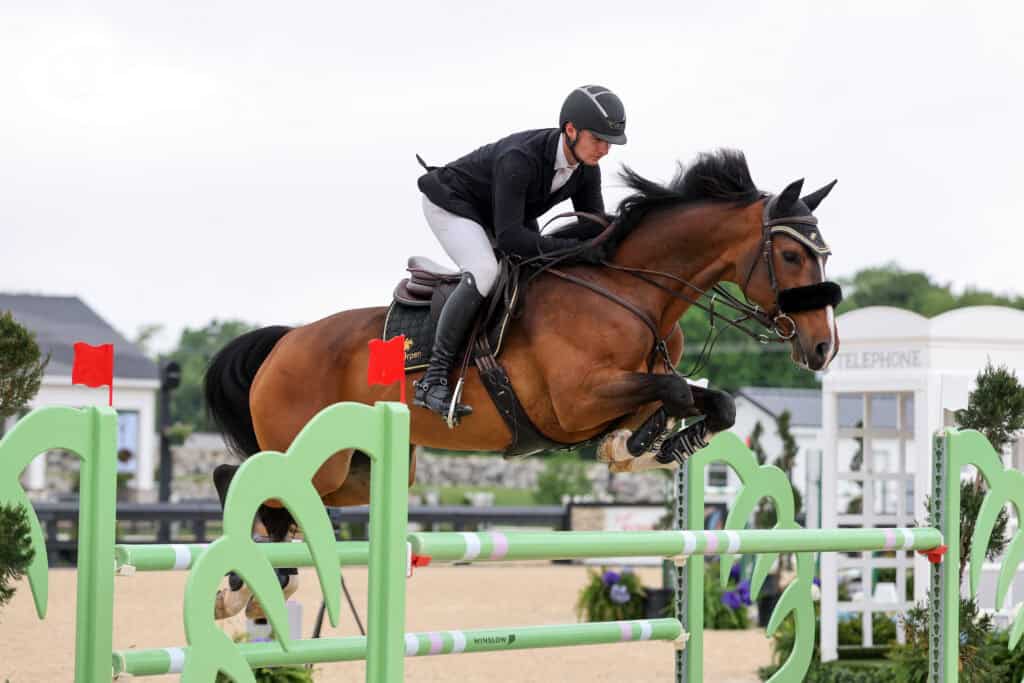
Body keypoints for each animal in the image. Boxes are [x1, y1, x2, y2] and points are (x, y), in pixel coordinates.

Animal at [204, 150, 841, 543]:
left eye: (824, 253)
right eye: (791, 255)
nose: (822, 348)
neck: (632, 291)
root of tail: (286, 341)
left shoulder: (619, 390)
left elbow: (711, 401)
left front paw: (655, 444)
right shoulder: (574, 403)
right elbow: (674, 389)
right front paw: (635, 446)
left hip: (356, 471)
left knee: (275, 496)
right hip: (313, 455)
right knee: (246, 482)